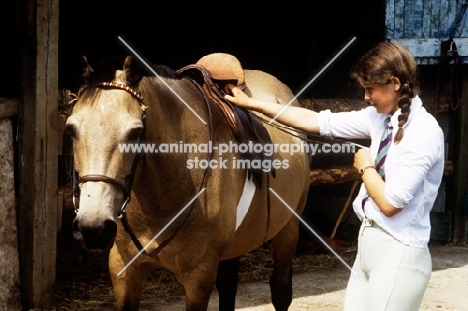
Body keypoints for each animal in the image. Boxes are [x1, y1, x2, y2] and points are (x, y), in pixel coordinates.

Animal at [65, 54, 308, 310]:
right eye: (70, 130)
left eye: (135, 132)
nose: (93, 227)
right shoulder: (123, 270)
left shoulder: (199, 278)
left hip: (288, 230)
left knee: (281, 289)